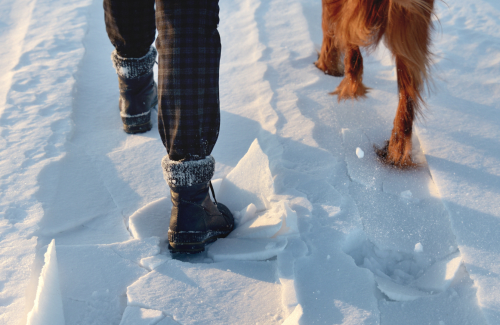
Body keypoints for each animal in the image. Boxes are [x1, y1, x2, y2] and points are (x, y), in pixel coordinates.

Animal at [316, 0, 434, 167]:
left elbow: (330, 26)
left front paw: (327, 67)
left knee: (347, 36)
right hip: (411, 28)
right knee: (407, 95)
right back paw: (396, 152)